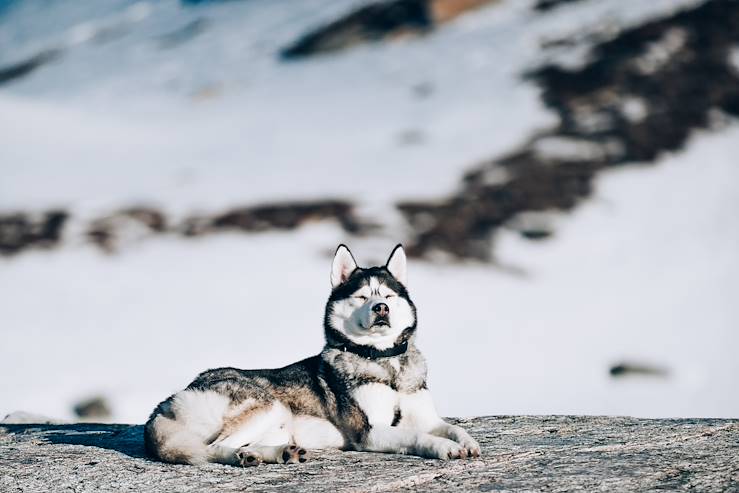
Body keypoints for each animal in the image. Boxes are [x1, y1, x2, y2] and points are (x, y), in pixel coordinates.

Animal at [145, 245, 480, 466]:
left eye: (387, 295)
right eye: (362, 296)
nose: (380, 309)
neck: (385, 362)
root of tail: (166, 402)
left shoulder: (427, 417)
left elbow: (454, 428)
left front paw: (469, 443)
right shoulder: (369, 432)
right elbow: (418, 437)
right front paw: (445, 448)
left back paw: (275, 453)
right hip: (269, 406)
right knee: (214, 447)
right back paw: (243, 456)